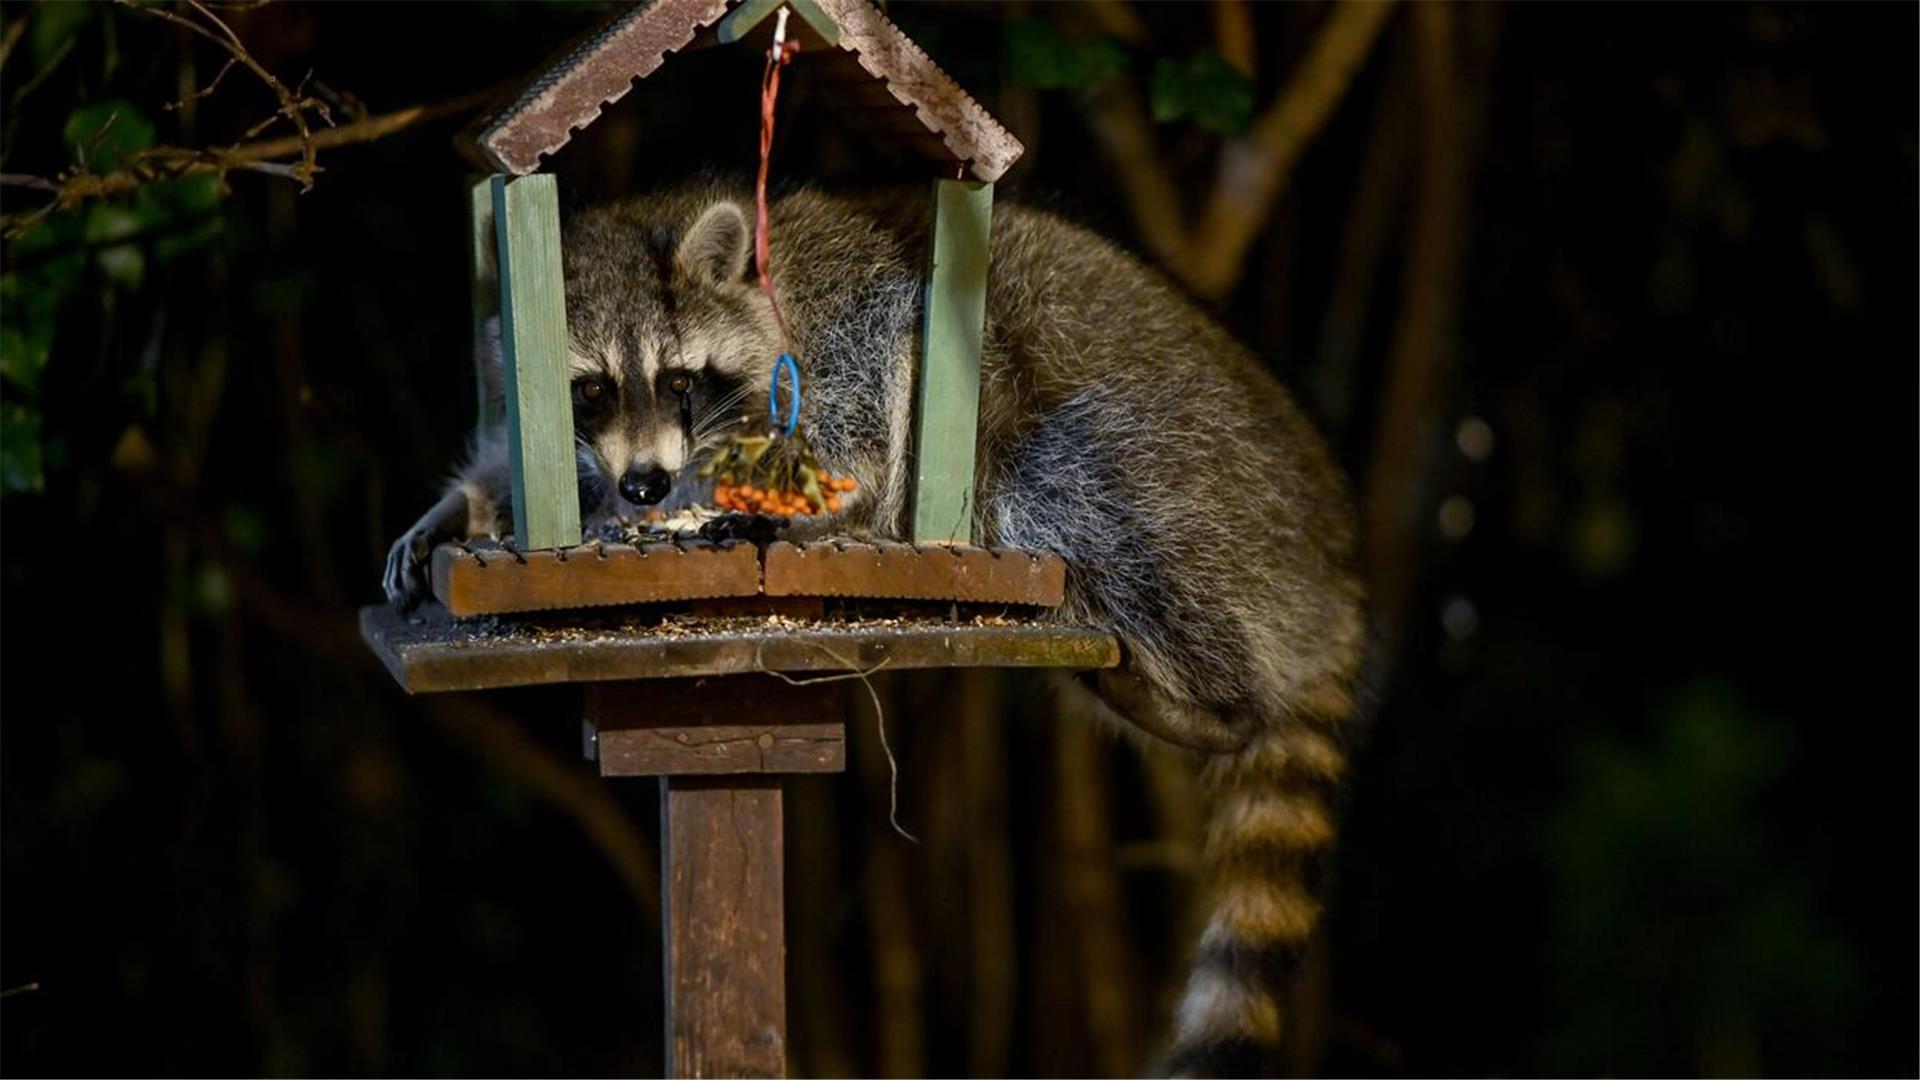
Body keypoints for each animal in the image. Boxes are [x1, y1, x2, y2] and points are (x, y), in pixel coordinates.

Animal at [382, 184, 1359, 1076]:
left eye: (679, 380)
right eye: (587, 389)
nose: (647, 485)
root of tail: (1327, 570)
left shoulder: (839, 329)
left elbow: (874, 382)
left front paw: (797, 510)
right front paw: (464, 506)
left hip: (1185, 477)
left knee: (1056, 469)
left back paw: (1220, 702)